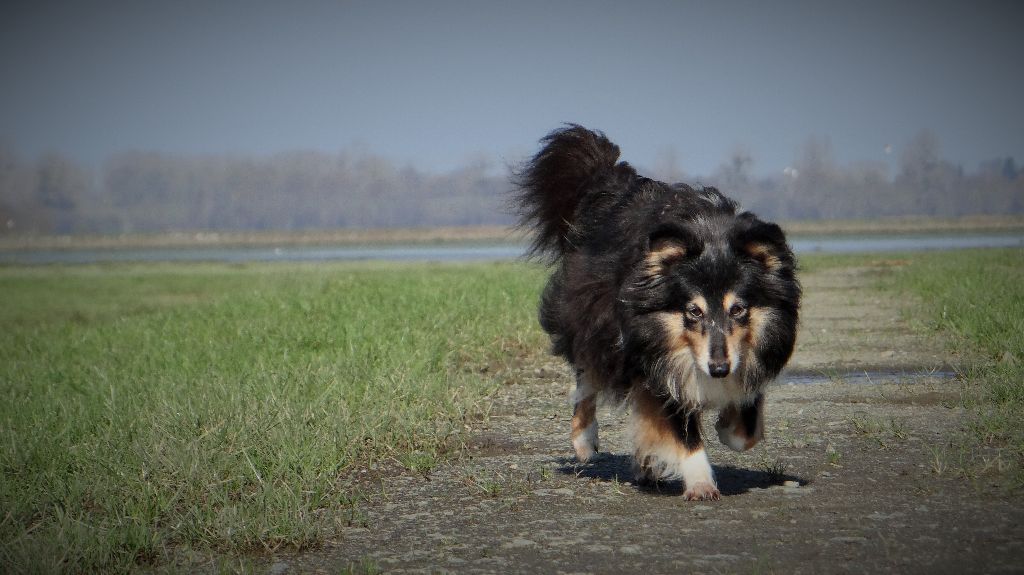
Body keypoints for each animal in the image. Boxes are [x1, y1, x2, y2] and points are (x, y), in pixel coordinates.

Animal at [512, 124, 798, 497]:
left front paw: (727, 427)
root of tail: (612, 185)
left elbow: (745, 427)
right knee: (587, 372)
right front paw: (701, 482)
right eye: (693, 311)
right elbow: (678, 424)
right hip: (593, 316)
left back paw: (647, 462)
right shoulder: (653, 351)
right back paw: (585, 441)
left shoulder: (752, 351)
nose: (718, 369)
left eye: (738, 310)